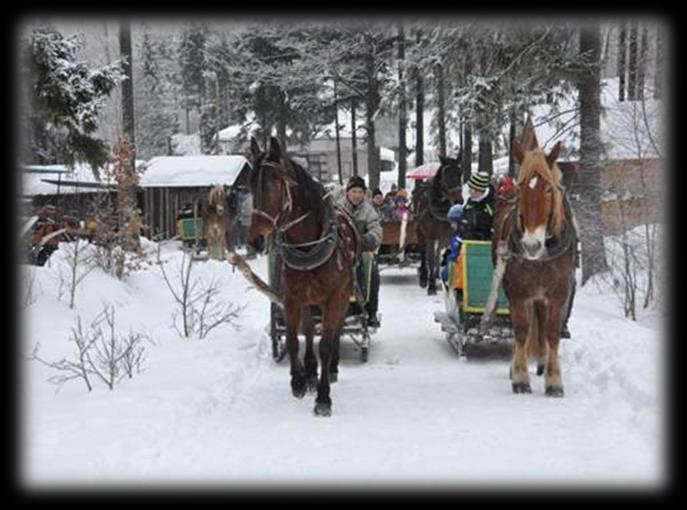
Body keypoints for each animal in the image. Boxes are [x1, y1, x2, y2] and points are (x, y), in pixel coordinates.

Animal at [246, 137, 358, 416]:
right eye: (249, 184)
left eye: (275, 182)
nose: (255, 240)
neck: (308, 246)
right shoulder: (292, 298)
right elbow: (295, 339)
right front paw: (298, 380)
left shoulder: (334, 299)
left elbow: (326, 344)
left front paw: (323, 398)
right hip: (308, 300)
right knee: (308, 331)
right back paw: (309, 372)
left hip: (343, 297)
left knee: (337, 329)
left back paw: (332, 369)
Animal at [412, 157, 464, 296]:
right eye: (446, 175)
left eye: (460, 173)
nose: (459, 201)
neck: (440, 209)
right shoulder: (430, 237)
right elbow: (431, 259)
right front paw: (431, 286)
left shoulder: (447, 237)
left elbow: (440, 257)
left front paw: (440, 280)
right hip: (419, 232)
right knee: (423, 252)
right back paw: (424, 277)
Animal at [492, 140, 576, 398]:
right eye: (521, 190)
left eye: (549, 189)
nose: (531, 245)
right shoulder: (519, 292)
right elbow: (521, 330)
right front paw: (520, 377)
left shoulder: (558, 294)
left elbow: (552, 332)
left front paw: (554, 380)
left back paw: (542, 362)